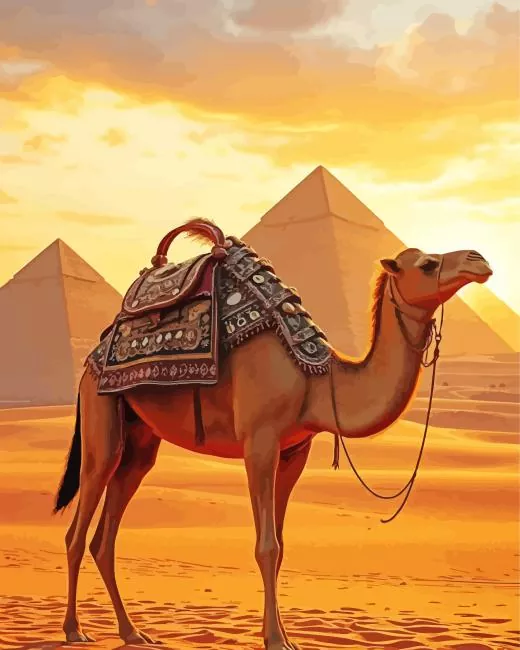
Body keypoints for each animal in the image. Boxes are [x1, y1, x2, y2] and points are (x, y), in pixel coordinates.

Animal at [53, 236, 492, 650]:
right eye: (428, 264)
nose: (479, 260)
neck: (315, 377)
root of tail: (94, 355)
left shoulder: (294, 451)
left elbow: (281, 547)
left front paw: (281, 635)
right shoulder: (259, 442)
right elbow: (267, 546)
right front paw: (276, 639)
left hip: (141, 440)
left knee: (107, 534)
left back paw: (133, 633)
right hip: (101, 414)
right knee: (79, 525)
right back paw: (74, 630)